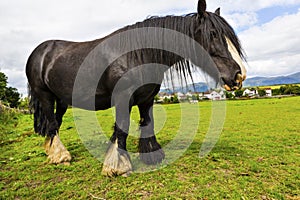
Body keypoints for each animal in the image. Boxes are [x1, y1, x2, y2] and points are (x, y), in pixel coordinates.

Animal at [25, 0, 246, 177]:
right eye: (213, 34)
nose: (239, 75)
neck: (139, 54)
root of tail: (39, 51)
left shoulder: (147, 98)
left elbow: (148, 123)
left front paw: (151, 155)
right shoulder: (123, 98)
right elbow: (122, 128)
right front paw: (118, 166)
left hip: (61, 100)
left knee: (55, 122)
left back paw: (52, 151)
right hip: (45, 96)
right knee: (52, 123)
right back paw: (60, 156)